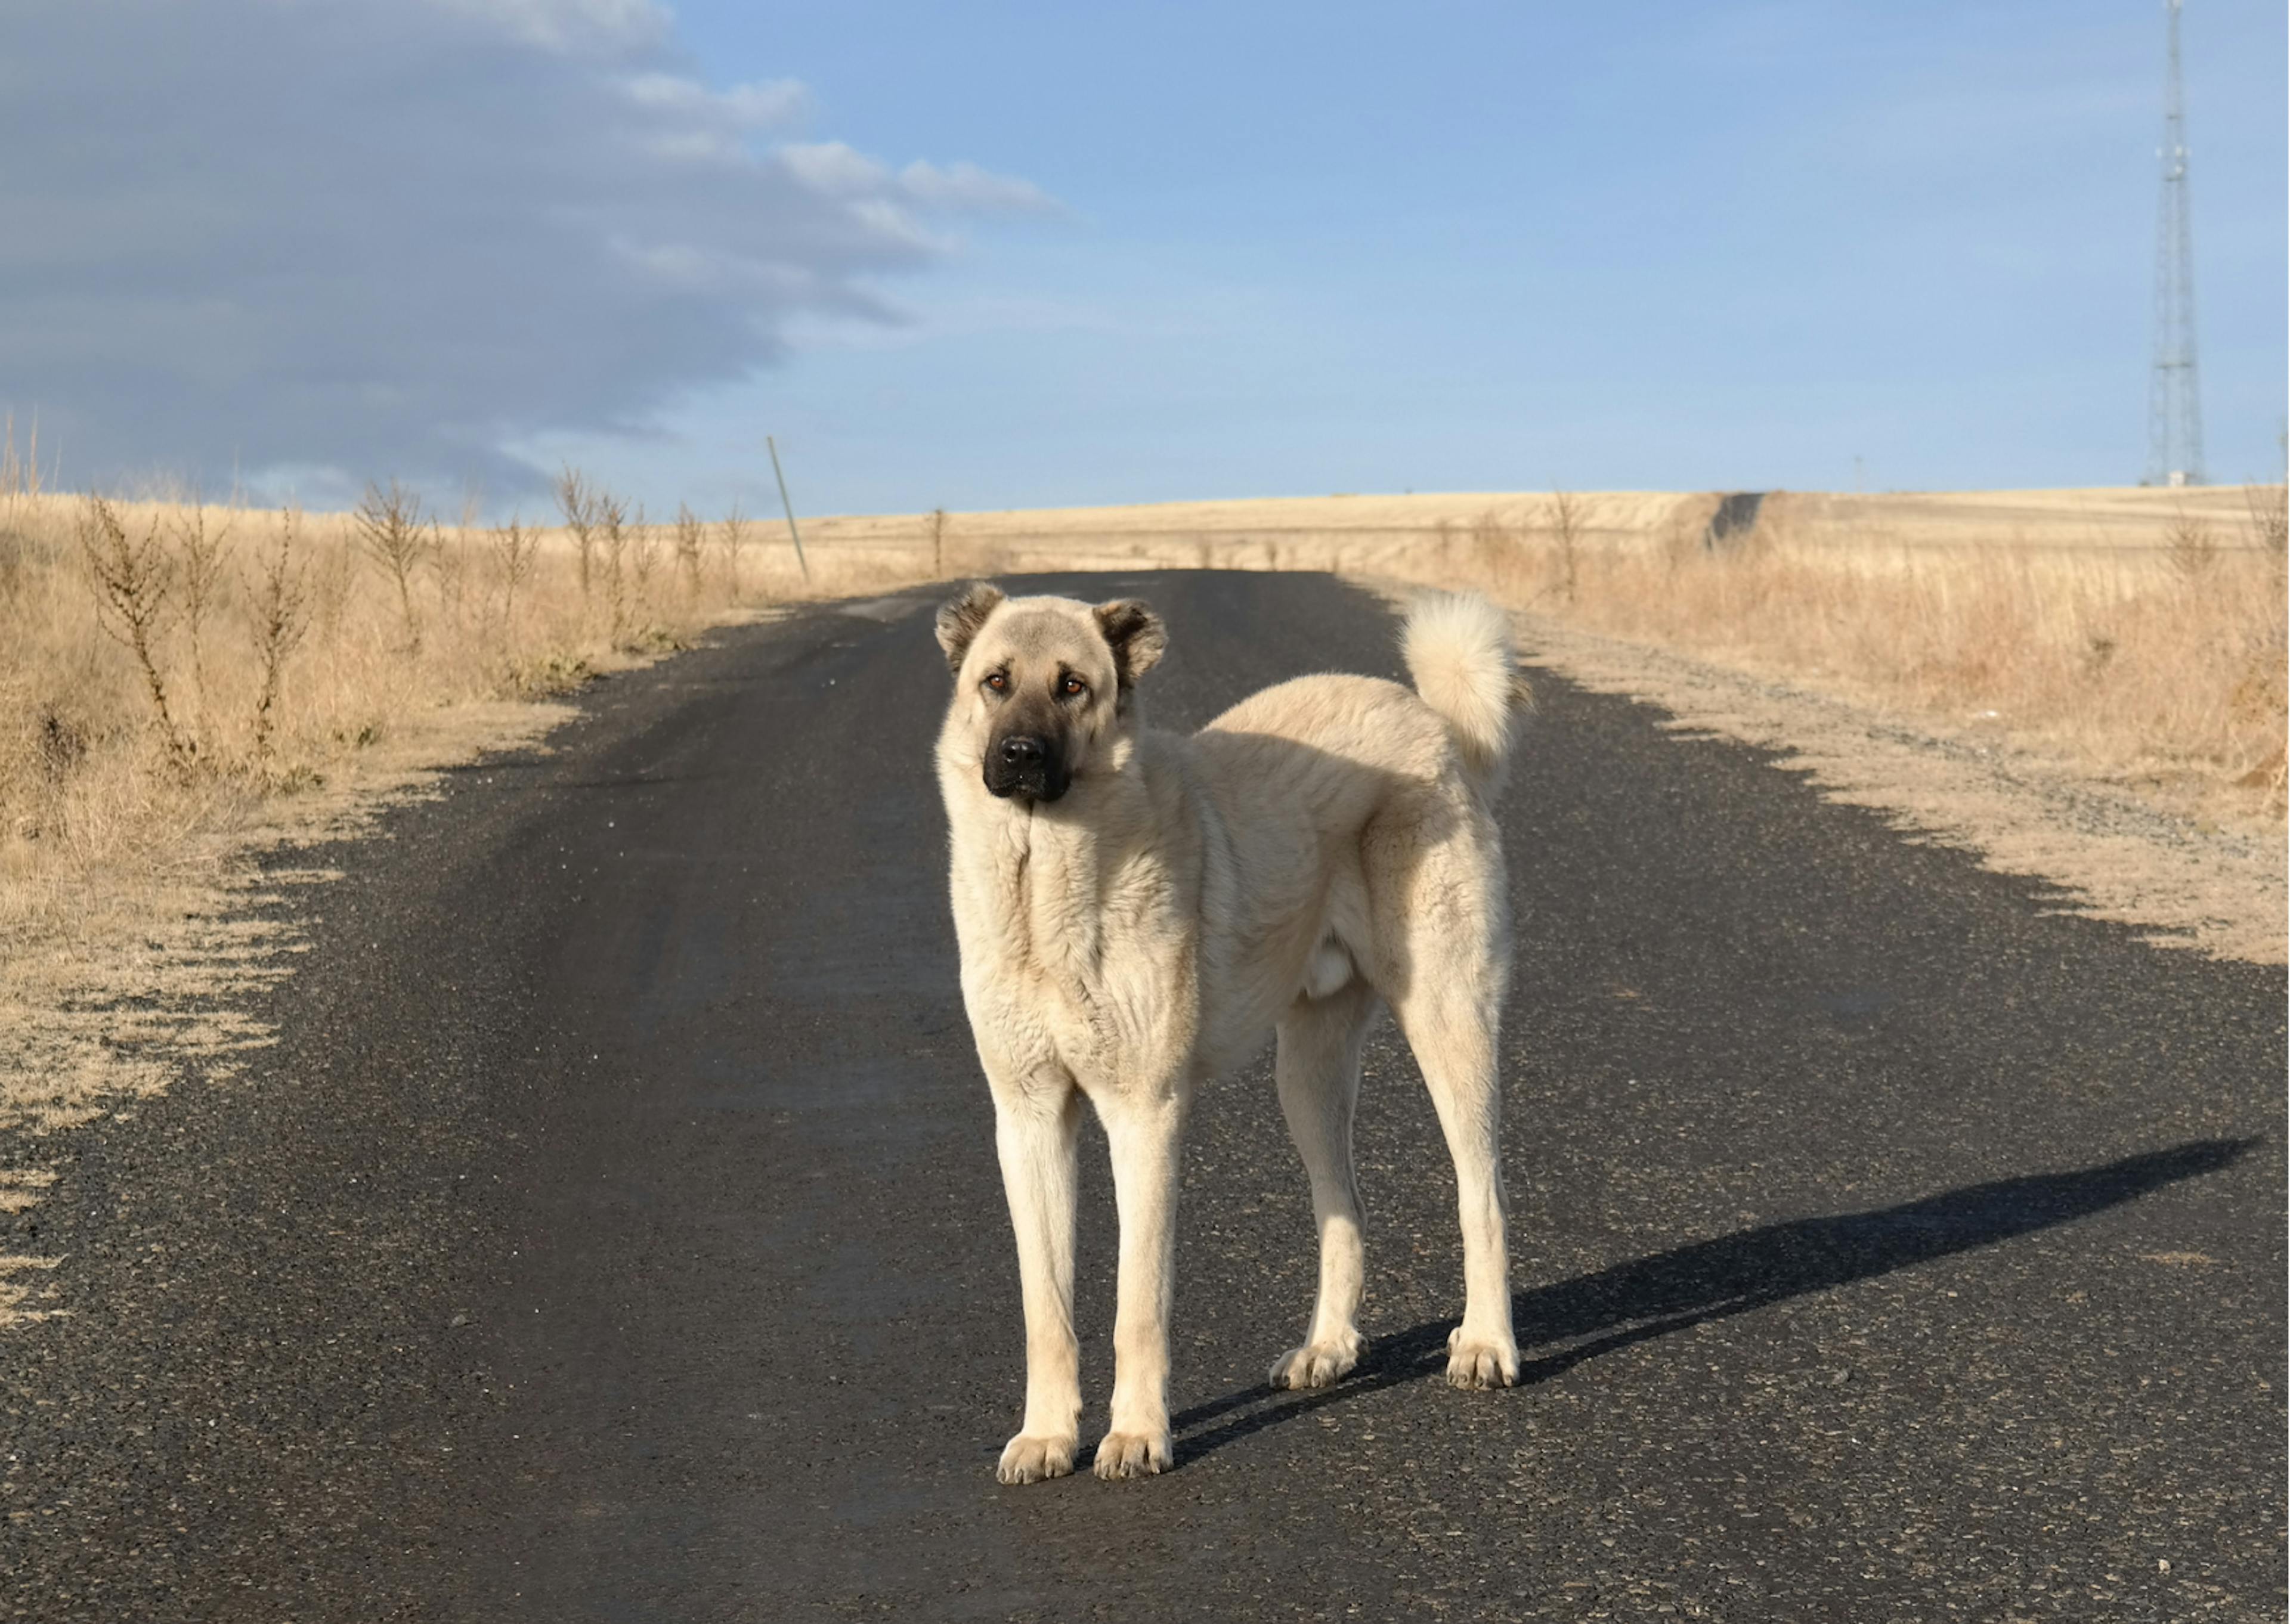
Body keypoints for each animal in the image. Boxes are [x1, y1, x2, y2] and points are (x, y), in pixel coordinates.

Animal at [930, 586, 1520, 1484]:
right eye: (995, 681)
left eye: (1072, 686)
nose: (1021, 755)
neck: (1046, 888)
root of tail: (1428, 717)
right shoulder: (1029, 1121)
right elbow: (1047, 1306)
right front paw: (1048, 1435)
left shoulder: (1144, 1118)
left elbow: (1137, 1303)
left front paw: (1137, 1435)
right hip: (1305, 1076)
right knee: (1343, 1205)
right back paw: (1327, 1349)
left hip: (1447, 1025)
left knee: (1479, 1194)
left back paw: (1486, 1343)